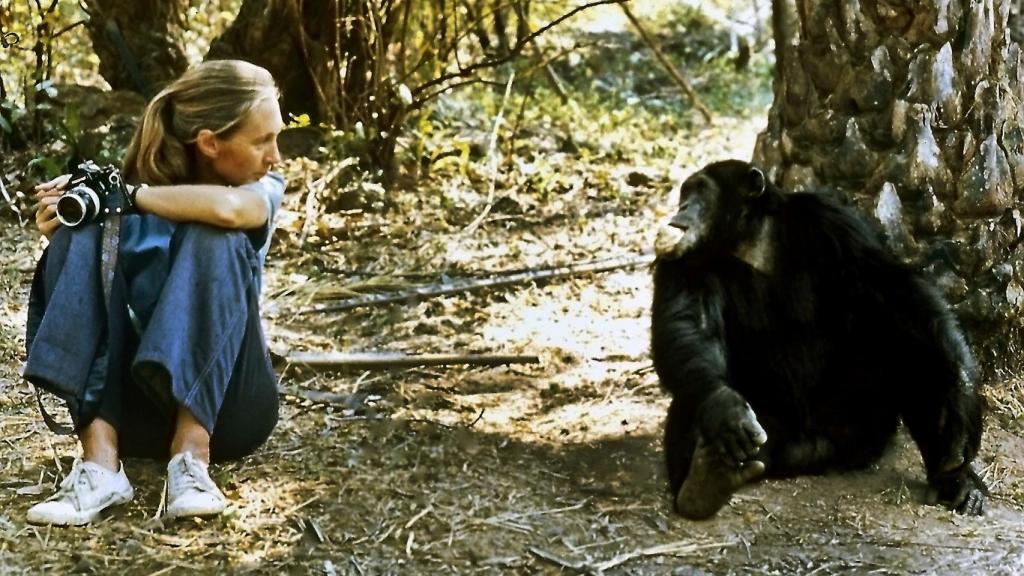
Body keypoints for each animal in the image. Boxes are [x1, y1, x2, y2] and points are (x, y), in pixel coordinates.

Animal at [651, 158, 987, 518]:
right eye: (686, 193)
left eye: (700, 191)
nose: (682, 207)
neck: (750, 242)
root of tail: (814, 445)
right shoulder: (680, 258)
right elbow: (687, 324)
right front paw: (724, 407)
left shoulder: (835, 223)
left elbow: (899, 292)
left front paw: (962, 391)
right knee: (695, 391)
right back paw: (704, 482)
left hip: (862, 424)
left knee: (905, 352)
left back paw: (954, 478)